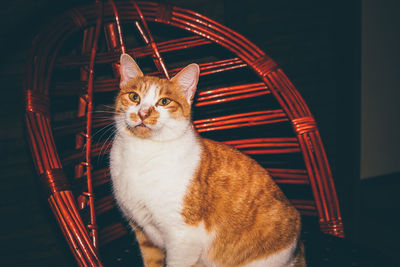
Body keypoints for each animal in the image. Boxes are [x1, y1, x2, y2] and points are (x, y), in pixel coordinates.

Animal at [111, 53, 304, 266]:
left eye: (164, 101)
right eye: (134, 97)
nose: (143, 113)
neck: (143, 152)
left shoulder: (183, 238)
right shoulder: (143, 233)